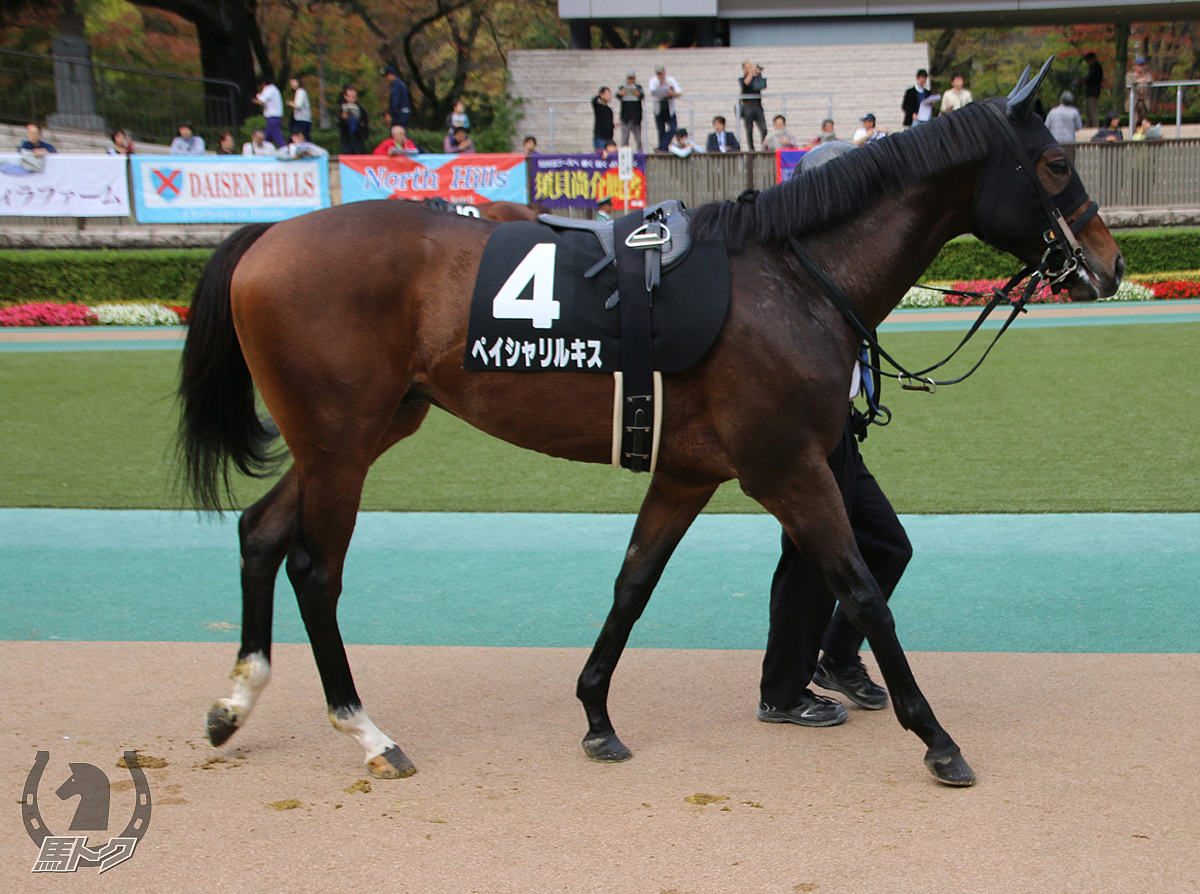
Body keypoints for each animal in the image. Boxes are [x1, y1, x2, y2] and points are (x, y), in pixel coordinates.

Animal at [177, 66, 1123, 782]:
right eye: (1051, 164)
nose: (1108, 265)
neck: (793, 277)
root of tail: (268, 238)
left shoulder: (687, 471)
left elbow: (633, 584)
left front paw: (596, 713)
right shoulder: (789, 467)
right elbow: (861, 588)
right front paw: (936, 737)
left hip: (361, 431)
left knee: (261, 533)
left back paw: (232, 703)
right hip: (343, 440)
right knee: (315, 569)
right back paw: (367, 730)